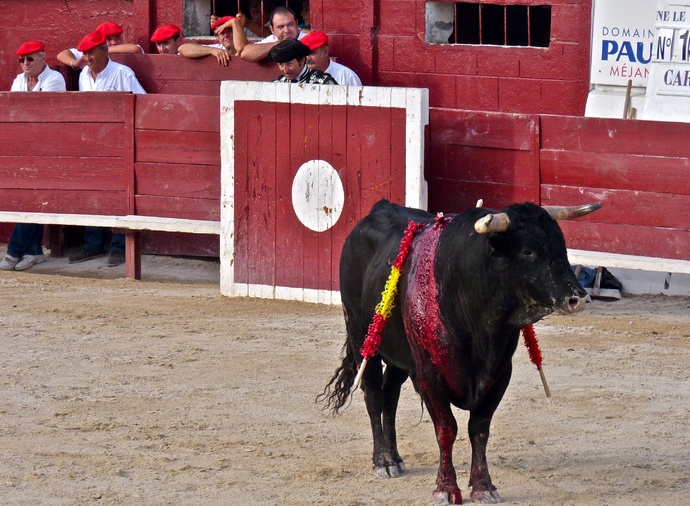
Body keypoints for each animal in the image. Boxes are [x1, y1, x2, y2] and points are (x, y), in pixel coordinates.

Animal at [321, 199, 601, 504]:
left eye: (561, 246)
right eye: (528, 251)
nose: (577, 298)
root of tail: (377, 209)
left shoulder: (499, 373)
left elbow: (479, 428)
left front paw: (483, 486)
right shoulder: (430, 376)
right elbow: (447, 429)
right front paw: (445, 488)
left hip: (402, 357)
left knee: (390, 394)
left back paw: (396, 458)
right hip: (362, 335)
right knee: (372, 393)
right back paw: (383, 462)